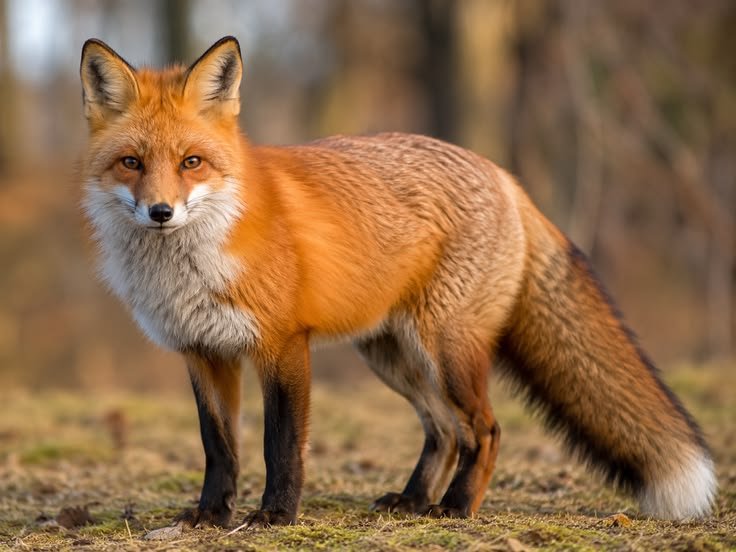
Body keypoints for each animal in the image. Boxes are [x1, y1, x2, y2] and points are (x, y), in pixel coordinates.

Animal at [79, 36, 716, 528]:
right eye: (132, 163)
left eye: (192, 162)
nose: (161, 212)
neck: (193, 263)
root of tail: (504, 176)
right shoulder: (202, 352)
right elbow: (219, 448)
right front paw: (211, 516)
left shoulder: (283, 345)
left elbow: (280, 445)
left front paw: (277, 515)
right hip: (392, 356)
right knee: (445, 432)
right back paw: (412, 500)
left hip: (445, 350)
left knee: (485, 431)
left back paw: (455, 508)